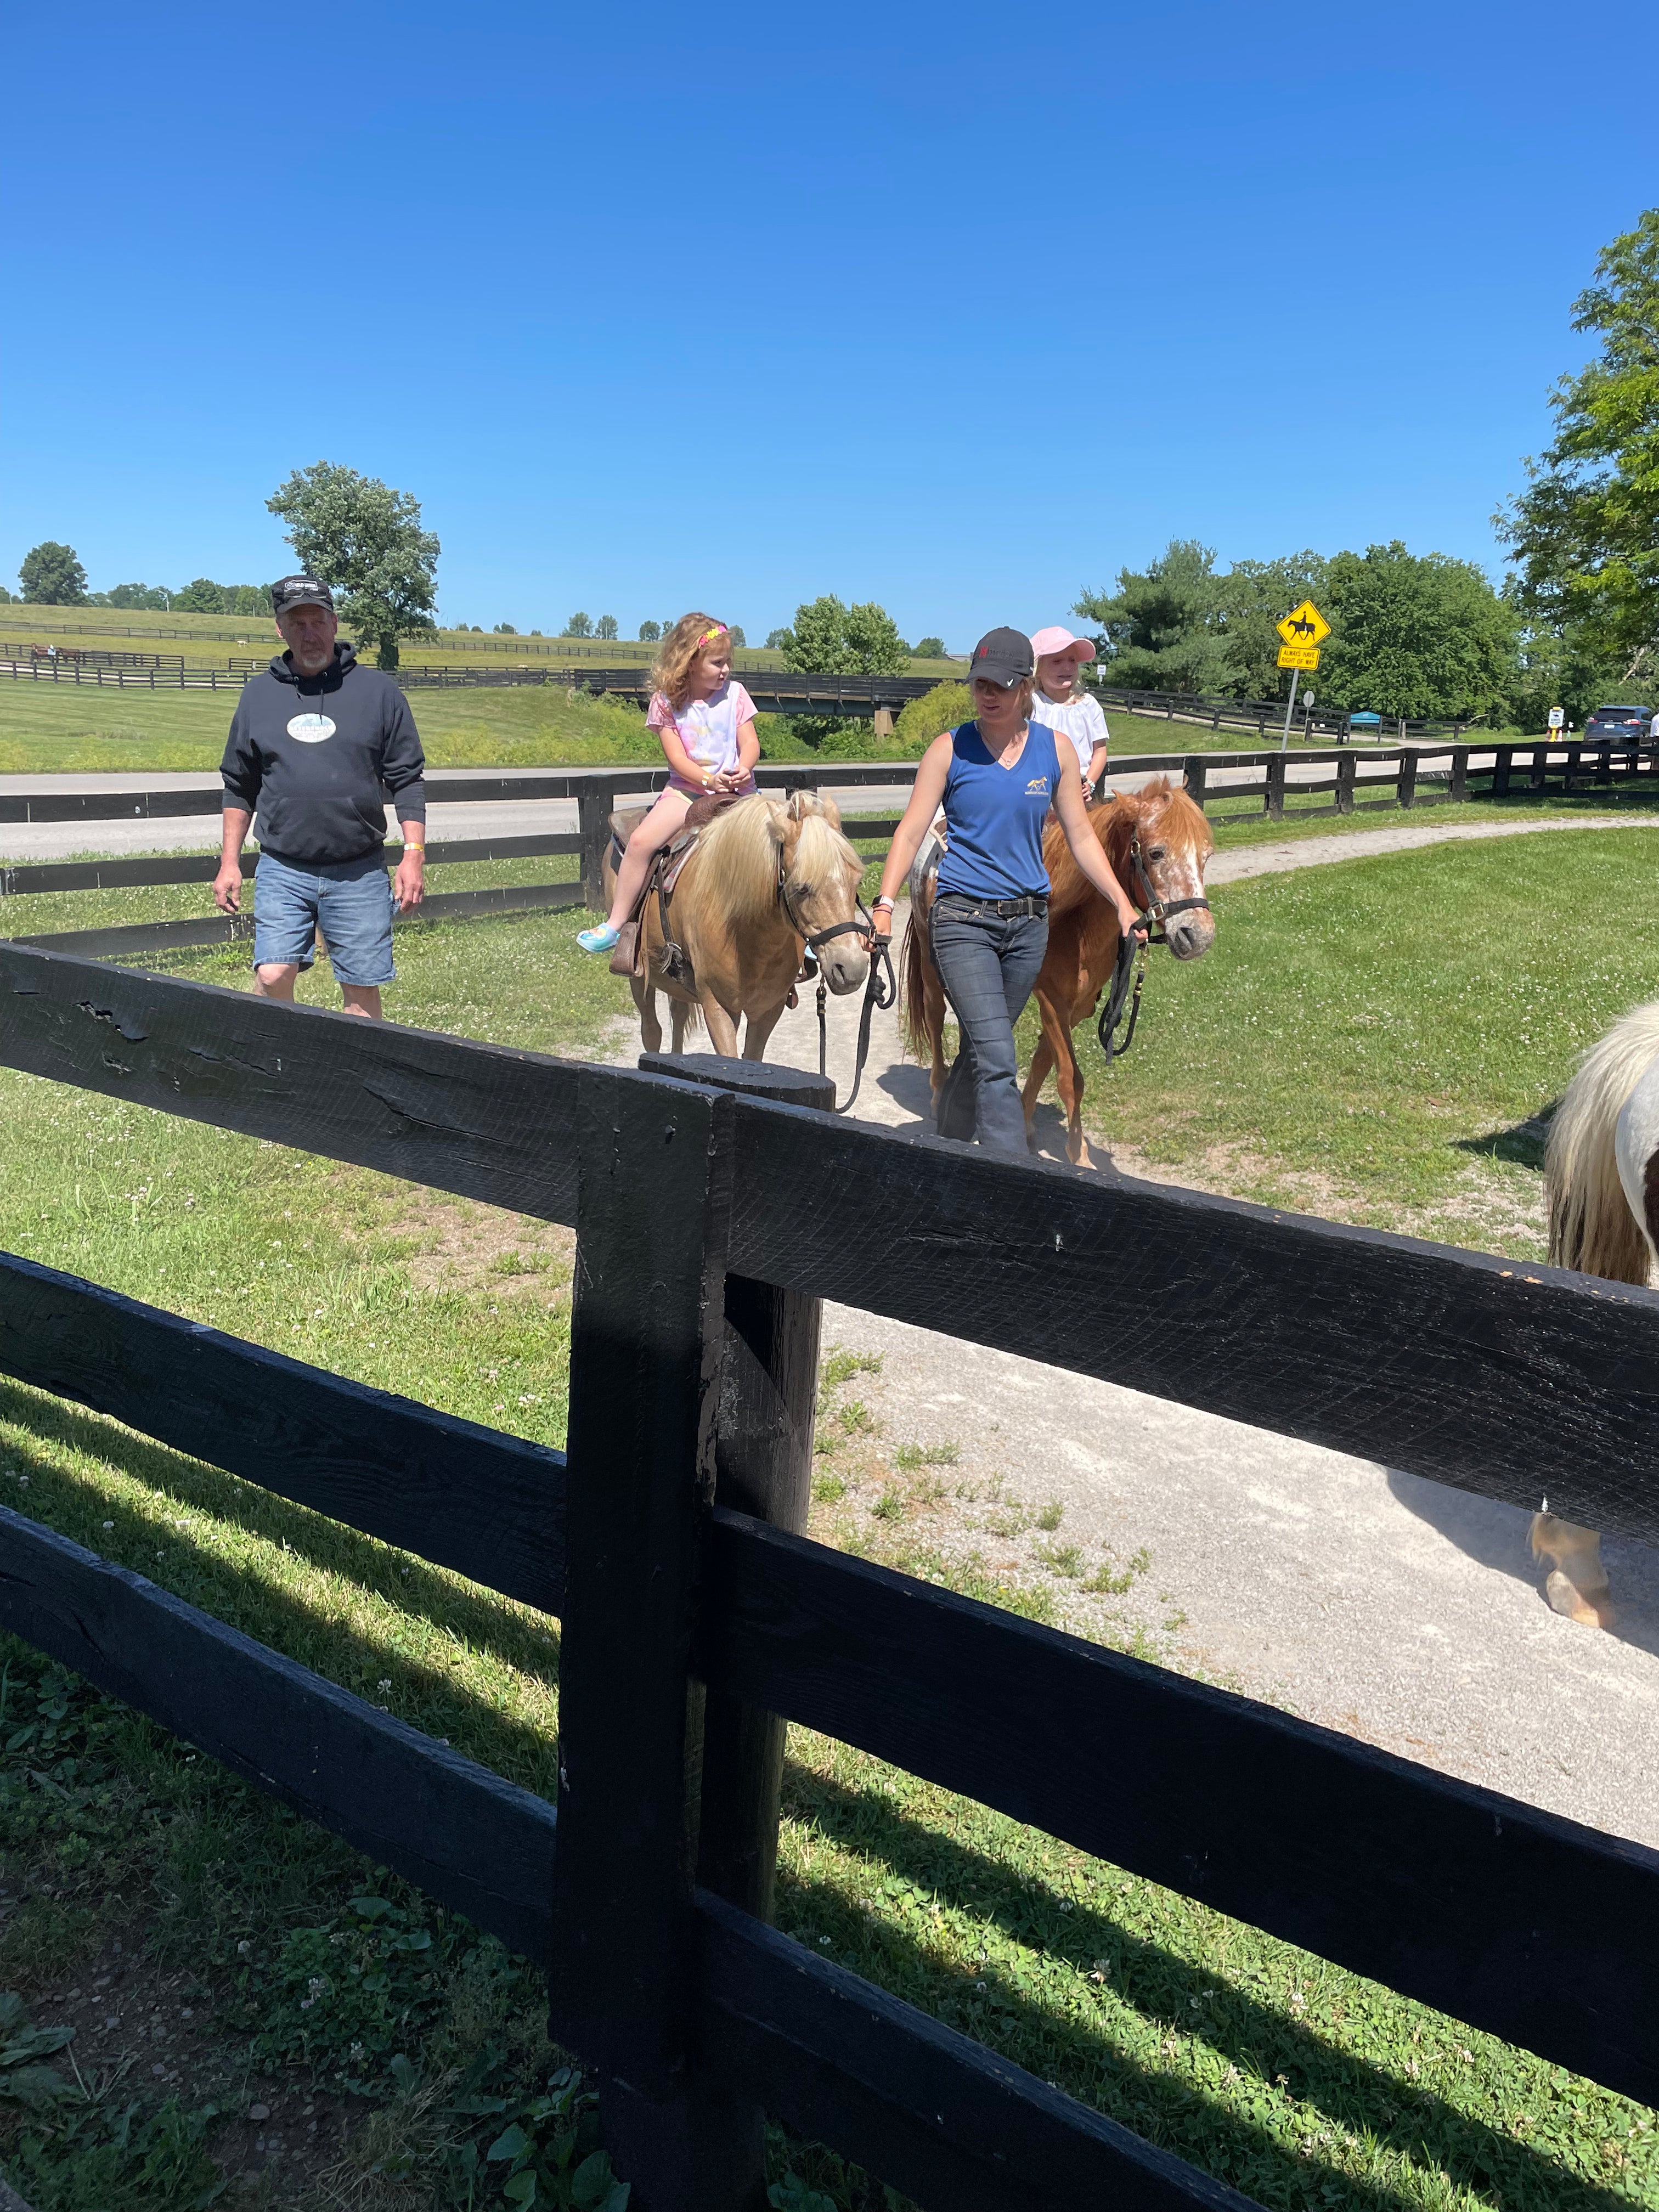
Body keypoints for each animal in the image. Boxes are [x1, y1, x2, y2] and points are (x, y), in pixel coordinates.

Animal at [606, 792, 871, 1066]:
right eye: (801, 888)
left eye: (856, 881)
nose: (852, 968)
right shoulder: (718, 1008)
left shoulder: (768, 1010)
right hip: (638, 976)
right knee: (652, 1030)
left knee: (677, 1016)